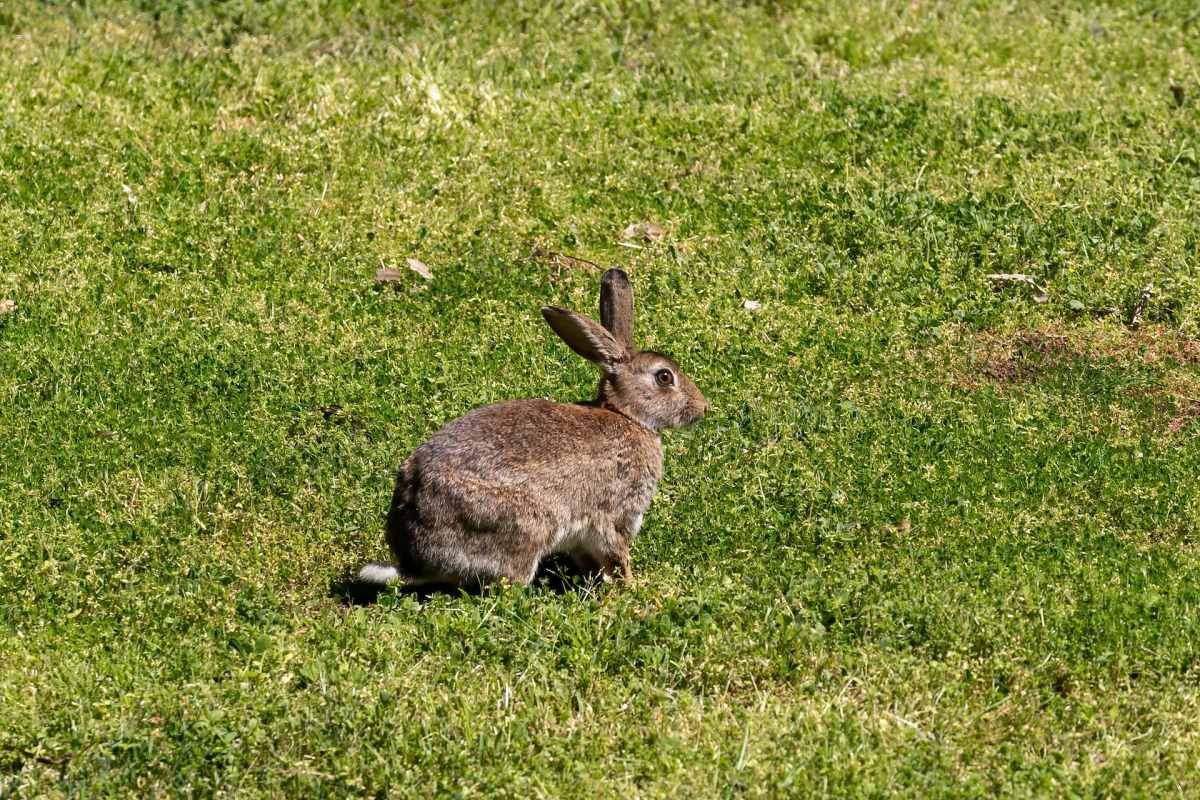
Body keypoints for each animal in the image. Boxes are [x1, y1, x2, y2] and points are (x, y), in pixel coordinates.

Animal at [357, 268, 710, 587]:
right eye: (664, 377)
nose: (702, 407)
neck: (627, 415)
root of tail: (416, 557)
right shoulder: (613, 515)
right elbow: (617, 554)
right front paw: (633, 586)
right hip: (522, 526)